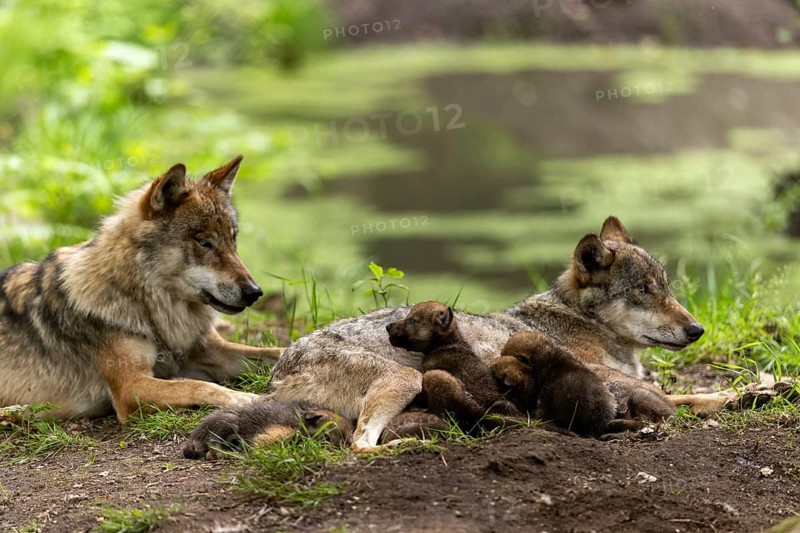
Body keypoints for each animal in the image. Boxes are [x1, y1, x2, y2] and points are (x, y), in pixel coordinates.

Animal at [0, 156, 282, 421]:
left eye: (233, 240)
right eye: (205, 243)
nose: (255, 292)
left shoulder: (210, 349)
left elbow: (274, 351)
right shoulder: (129, 387)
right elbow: (198, 386)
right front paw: (248, 399)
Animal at [266, 216, 710, 451]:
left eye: (665, 286)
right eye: (644, 289)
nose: (697, 330)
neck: (584, 322)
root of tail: (279, 373)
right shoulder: (603, 375)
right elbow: (682, 396)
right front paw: (726, 397)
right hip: (405, 379)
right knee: (359, 444)